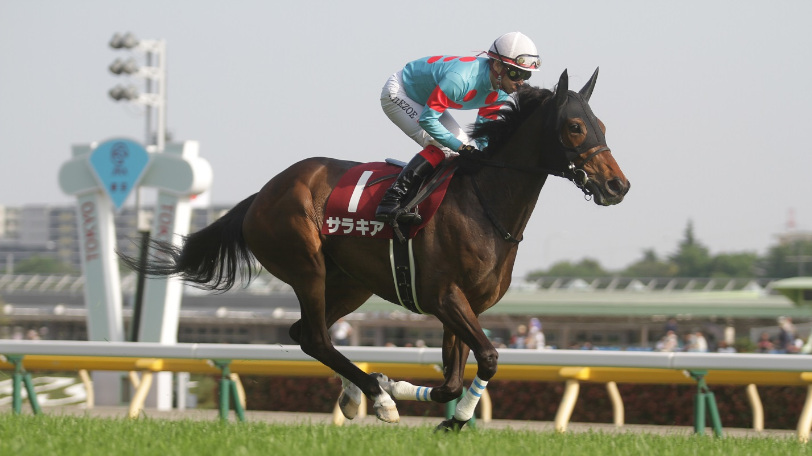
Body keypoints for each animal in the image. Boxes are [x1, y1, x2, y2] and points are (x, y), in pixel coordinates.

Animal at [122, 68, 630, 431]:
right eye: (576, 127)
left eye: (603, 124)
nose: (618, 185)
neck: (483, 202)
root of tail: (261, 195)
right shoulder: (445, 297)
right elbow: (487, 357)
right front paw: (429, 406)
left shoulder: (464, 305)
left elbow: (452, 378)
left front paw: (432, 406)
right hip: (306, 266)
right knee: (317, 337)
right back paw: (378, 399)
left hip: (351, 285)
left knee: (305, 334)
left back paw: (359, 393)